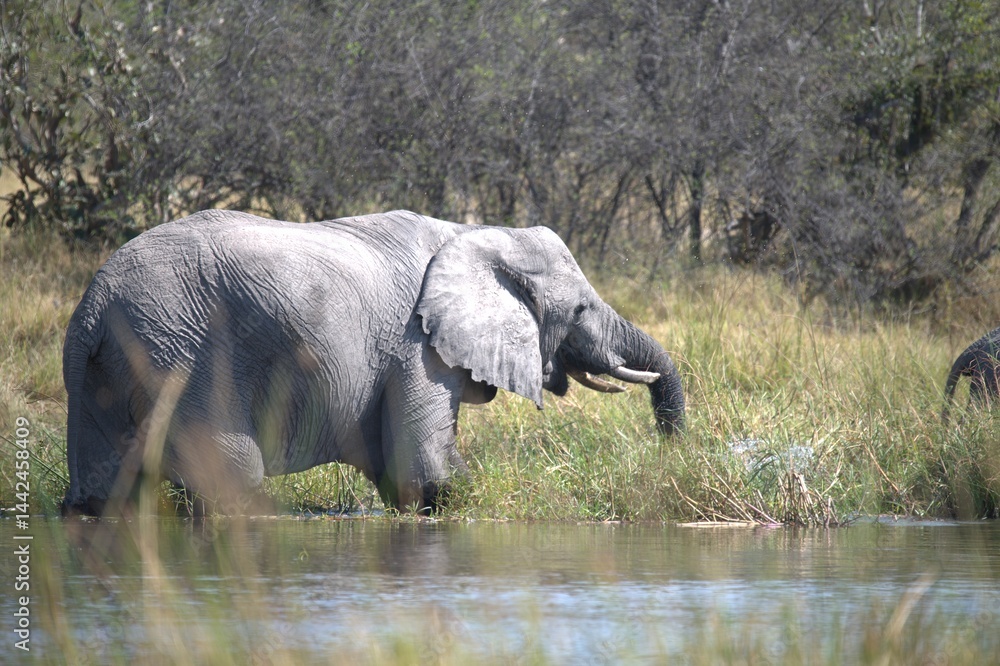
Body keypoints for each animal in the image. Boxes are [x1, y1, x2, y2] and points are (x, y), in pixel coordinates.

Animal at [61, 209, 685, 515]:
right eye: (580, 308)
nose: (669, 452)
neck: (476, 232)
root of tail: (93, 305)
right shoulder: (418, 347)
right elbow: (426, 475)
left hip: (106, 369)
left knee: (101, 493)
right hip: (179, 354)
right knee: (232, 480)